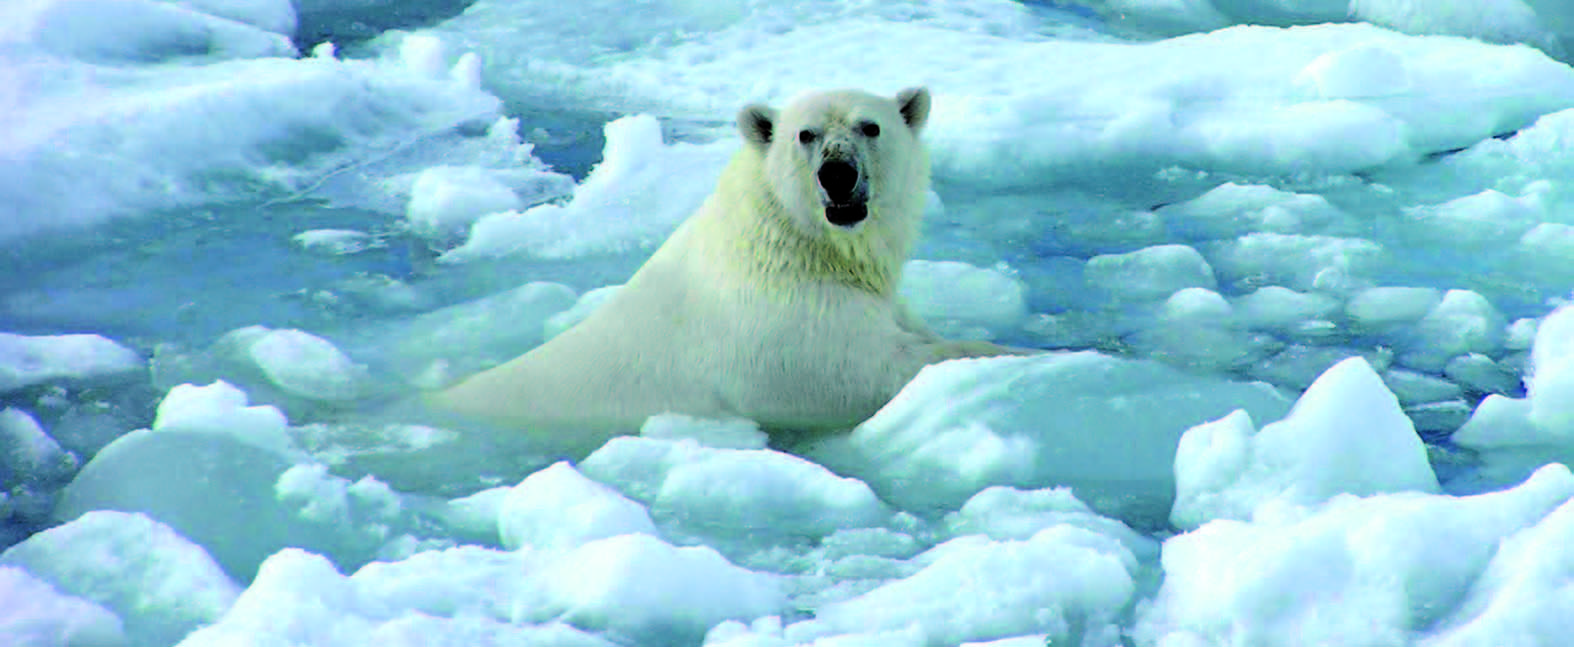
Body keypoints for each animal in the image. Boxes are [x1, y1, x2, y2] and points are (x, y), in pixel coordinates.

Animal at [424, 87, 1032, 456]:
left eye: (871, 126)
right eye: (805, 134)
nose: (837, 174)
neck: (795, 246)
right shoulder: (783, 331)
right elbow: (870, 371)